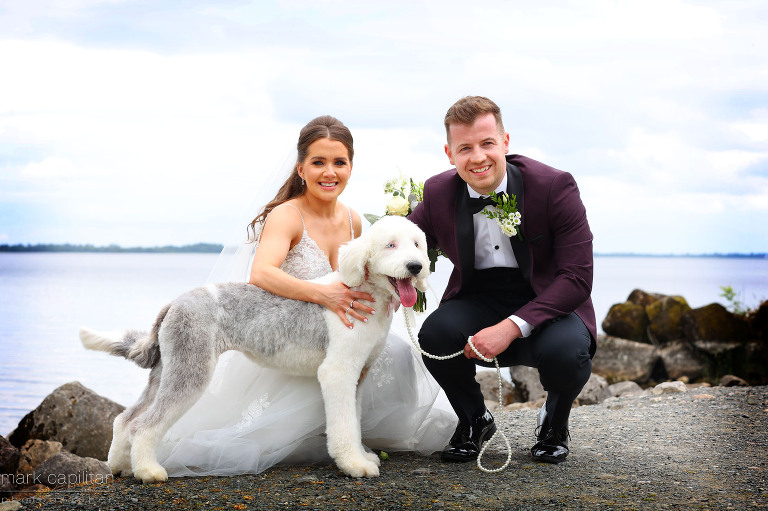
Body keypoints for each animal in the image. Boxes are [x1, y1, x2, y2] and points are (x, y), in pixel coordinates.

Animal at [82, 216, 432, 484]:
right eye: (390, 245)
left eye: (417, 244)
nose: (415, 266)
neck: (360, 290)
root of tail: (175, 302)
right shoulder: (337, 372)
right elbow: (344, 425)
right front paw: (354, 465)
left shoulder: (357, 374)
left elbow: (353, 421)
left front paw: (361, 457)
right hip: (190, 368)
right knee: (144, 425)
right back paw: (149, 471)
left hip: (167, 368)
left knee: (126, 419)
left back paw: (121, 466)